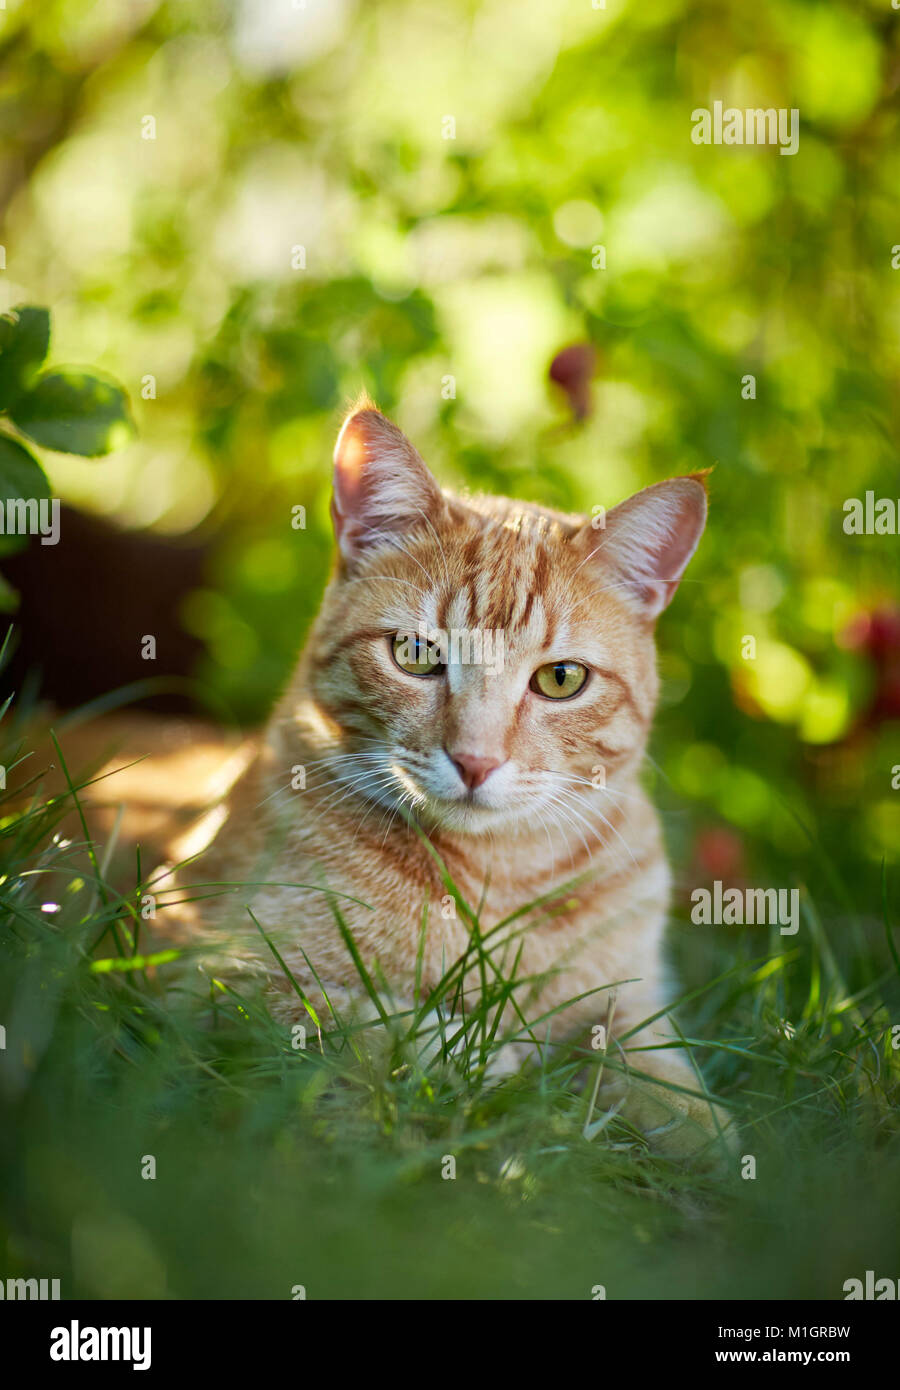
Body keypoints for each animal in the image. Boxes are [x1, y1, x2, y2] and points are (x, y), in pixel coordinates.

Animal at [158, 397, 728, 1156]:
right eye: (415, 654)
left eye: (561, 678)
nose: (475, 760)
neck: (500, 878)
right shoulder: (200, 972)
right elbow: (367, 1018)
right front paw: (489, 1062)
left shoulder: (632, 1004)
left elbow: (663, 1078)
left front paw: (715, 1138)